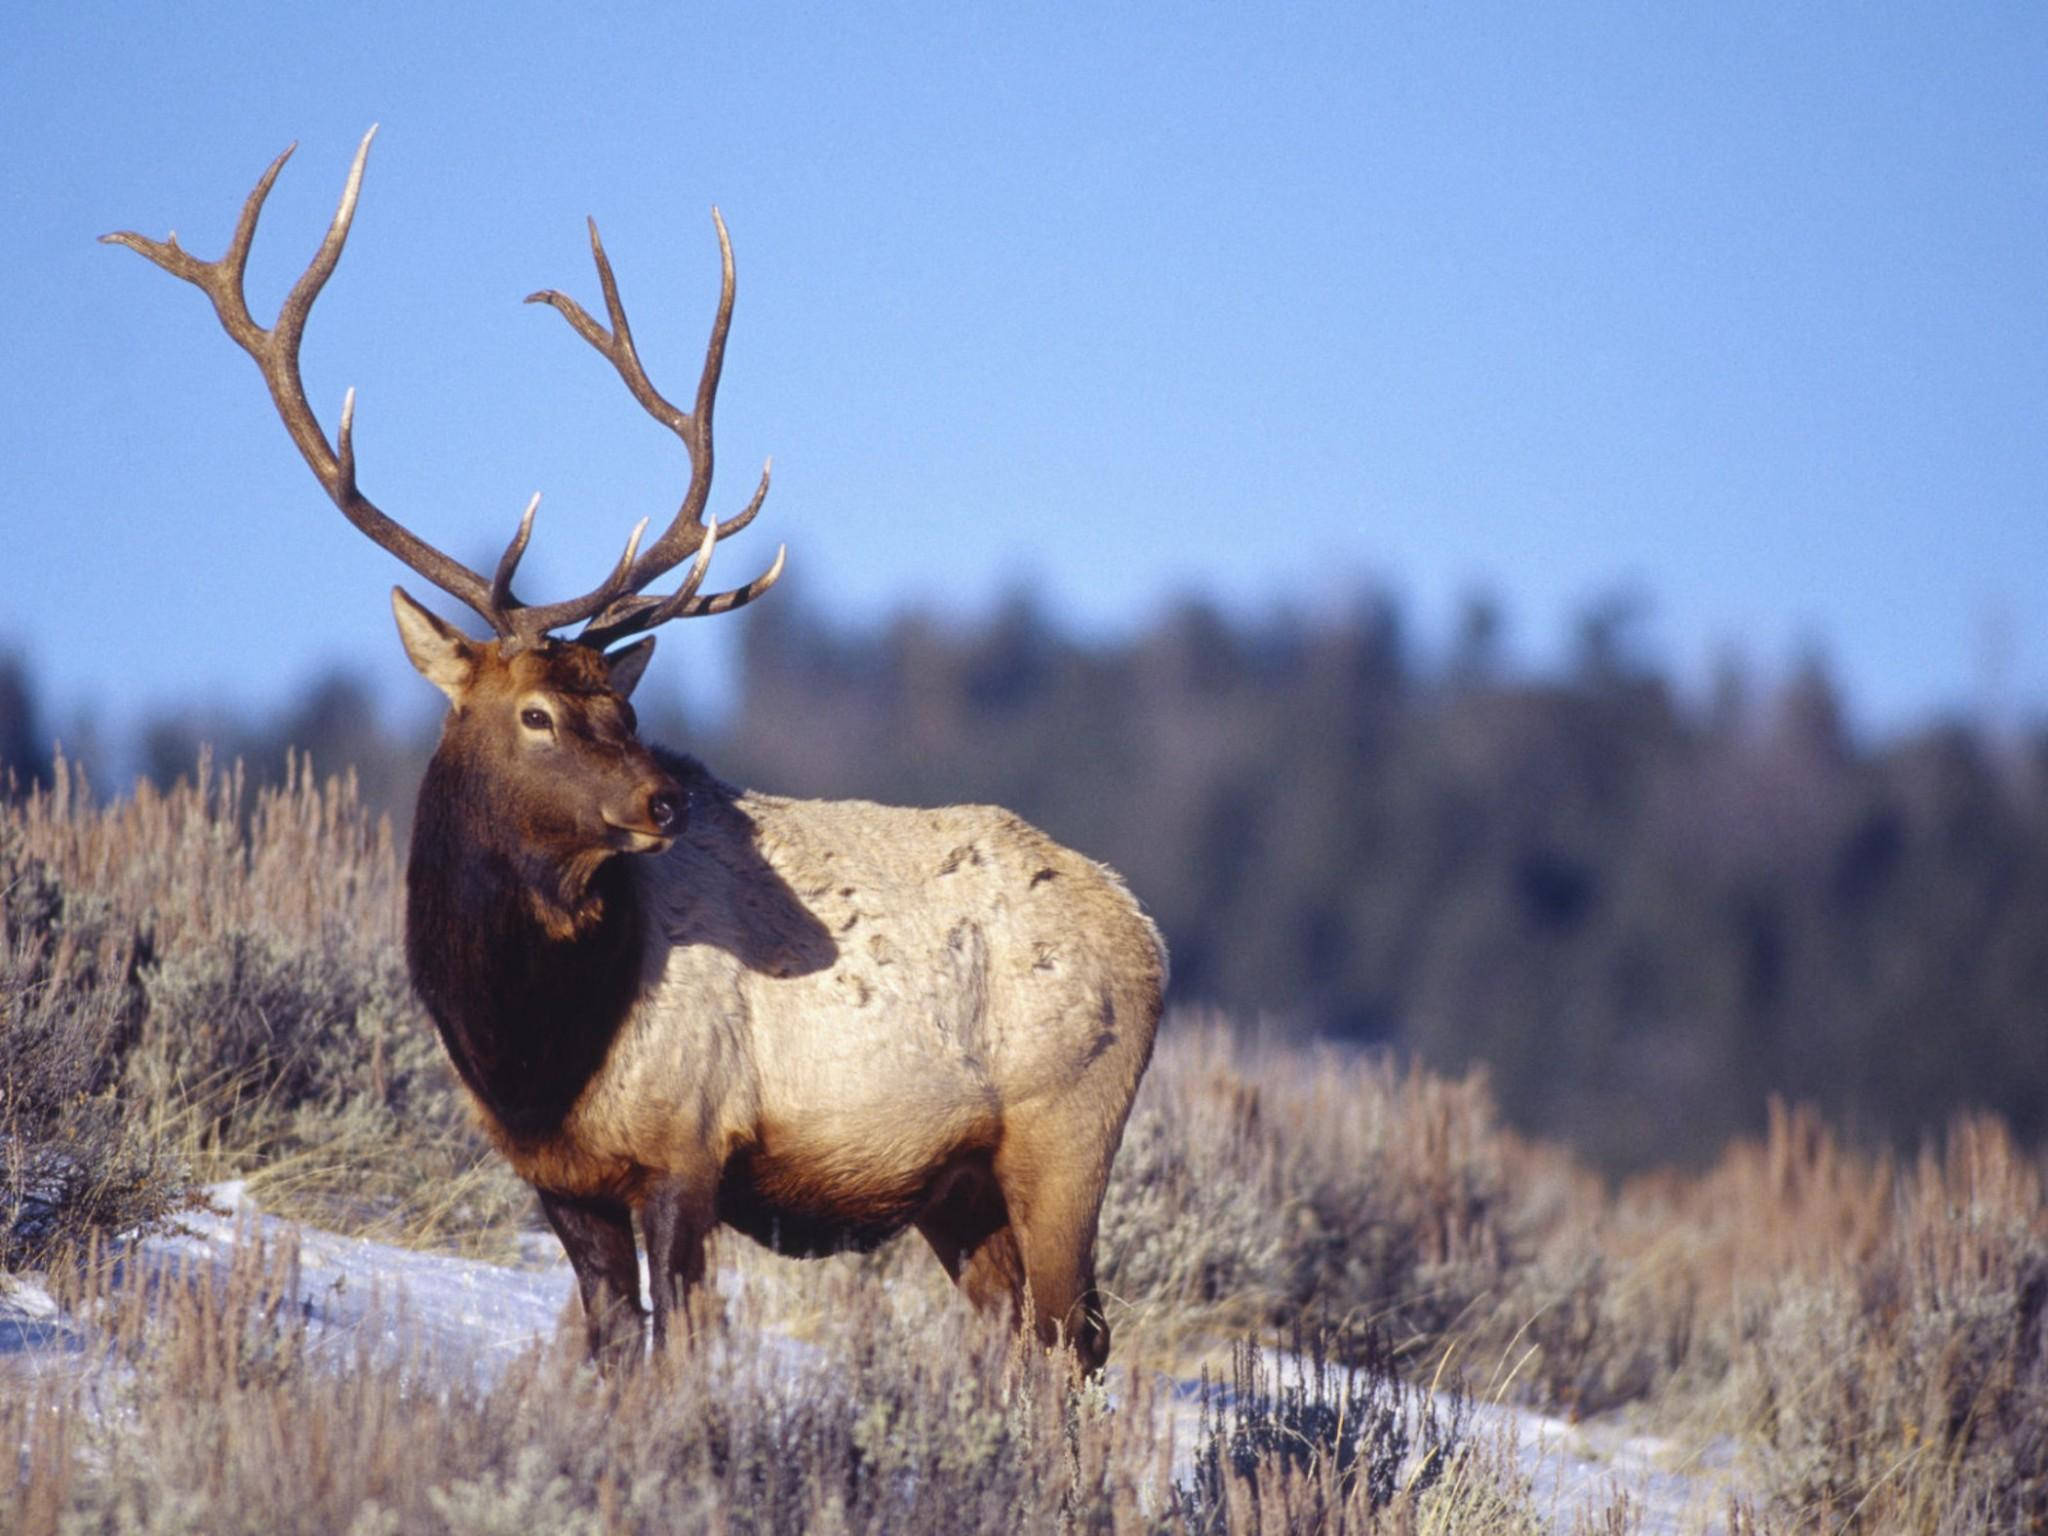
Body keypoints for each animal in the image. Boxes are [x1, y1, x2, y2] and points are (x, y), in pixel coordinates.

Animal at [104, 130, 1165, 1374]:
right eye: (537, 713)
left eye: (619, 698)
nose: (667, 802)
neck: (529, 1047)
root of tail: (1146, 931)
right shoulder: (557, 1177)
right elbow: (614, 1348)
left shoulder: (687, 1143)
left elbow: (680, 1353)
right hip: (957, 1189)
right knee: (1026, 1344)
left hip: (1063, 1131)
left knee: (1070, 1342)